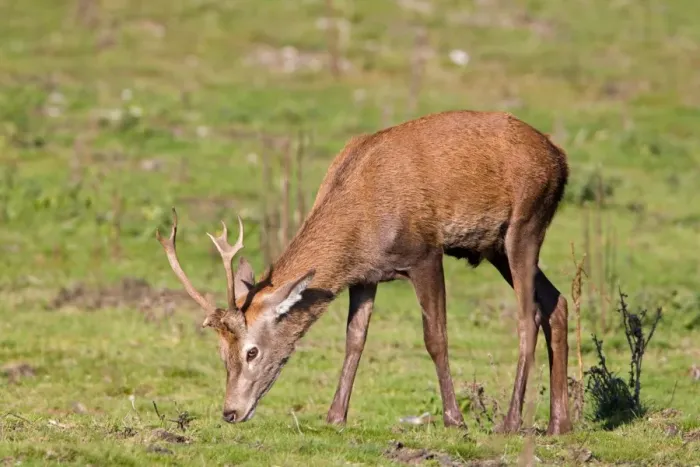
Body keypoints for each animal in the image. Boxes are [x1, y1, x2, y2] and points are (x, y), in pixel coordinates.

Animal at [155, 110, 572, 435]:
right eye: (220, 352)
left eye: (251, 351)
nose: (230, 412)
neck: (360, 225)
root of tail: (561, 158)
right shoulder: (365, 275)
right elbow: (354, 338)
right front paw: (335, 416)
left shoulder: (425, 253)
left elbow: (435, 337)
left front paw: (455, 419)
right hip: (495, 246)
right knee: (556, 302)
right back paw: (559, 423)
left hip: (526, 222)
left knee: (528, 315)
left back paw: (511, 422)